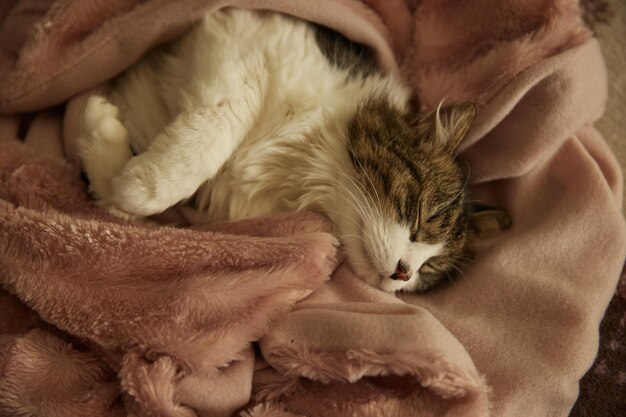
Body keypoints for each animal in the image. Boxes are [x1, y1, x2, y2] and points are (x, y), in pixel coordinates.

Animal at [80, 7, 476, 292]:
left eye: (431, 267)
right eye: (425, 216)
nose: (403, 274)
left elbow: (115, 200)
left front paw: (100, 128)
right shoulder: (244, 44)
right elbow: (211, 134)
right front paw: (139, 185)